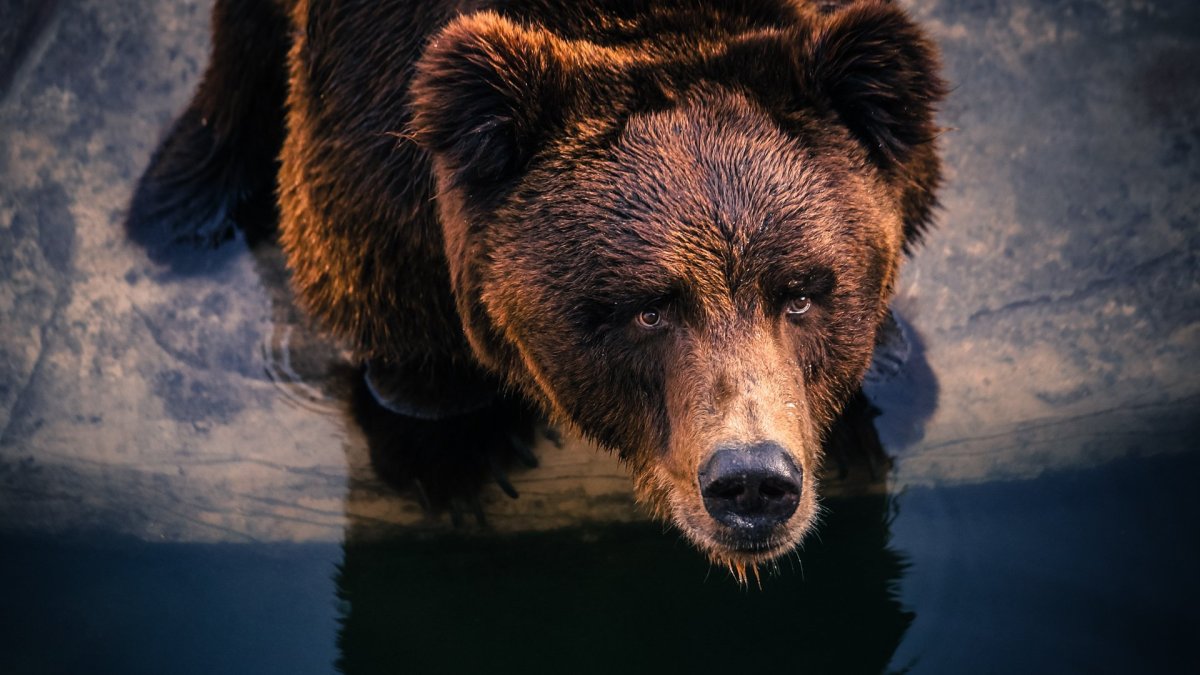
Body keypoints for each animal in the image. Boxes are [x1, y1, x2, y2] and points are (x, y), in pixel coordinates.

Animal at [128, 0, 944, 576]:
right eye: (650, 309)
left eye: (801, 292)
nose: (751, 482)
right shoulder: (369, 106)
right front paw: (457, 453)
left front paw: (878, 394)